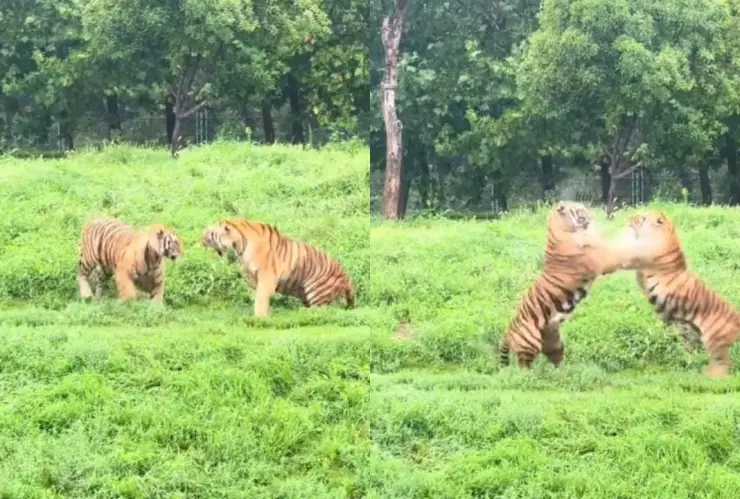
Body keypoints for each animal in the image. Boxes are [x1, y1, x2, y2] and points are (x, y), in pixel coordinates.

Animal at [201, 219, 355, 317]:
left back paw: (300, 311)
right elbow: (256, 296)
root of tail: (346, 277)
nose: (200, 241)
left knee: (325, 310)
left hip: (316, 288)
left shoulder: (266, 276)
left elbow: (261, 298)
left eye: (210, 234)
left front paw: (260, 318)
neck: (240, 246)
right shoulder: (252, 277)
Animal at [499, 201, 643, 368]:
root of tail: (508, 330)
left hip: (555, 343)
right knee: (523, 367)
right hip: (530, 344)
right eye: (580, 210)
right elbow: (622, 251)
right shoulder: (602, 259)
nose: (591, 217)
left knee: (557, 362)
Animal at [625, 211, 740, 378]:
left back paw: (709, 375)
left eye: (644, 217)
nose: (629, 217)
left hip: (714, 340)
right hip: (693, 335)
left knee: (725, 365)